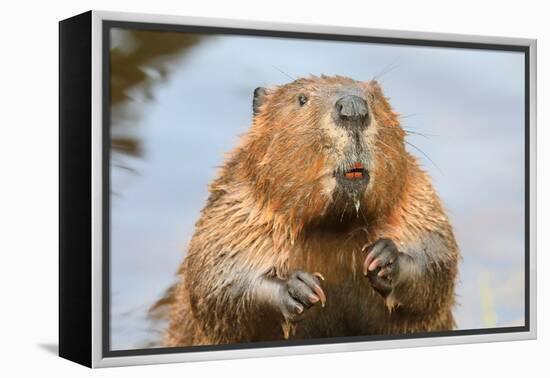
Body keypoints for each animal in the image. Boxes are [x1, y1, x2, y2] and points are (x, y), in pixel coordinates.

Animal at [164, 74, 462, 346]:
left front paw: (383, 259)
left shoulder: (416, 198)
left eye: (374, 98)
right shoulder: (236, 207)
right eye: (301, 99)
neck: (333, 228)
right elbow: (217, 280)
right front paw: (299, 288)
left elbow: (437, 254)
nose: (353, 107)